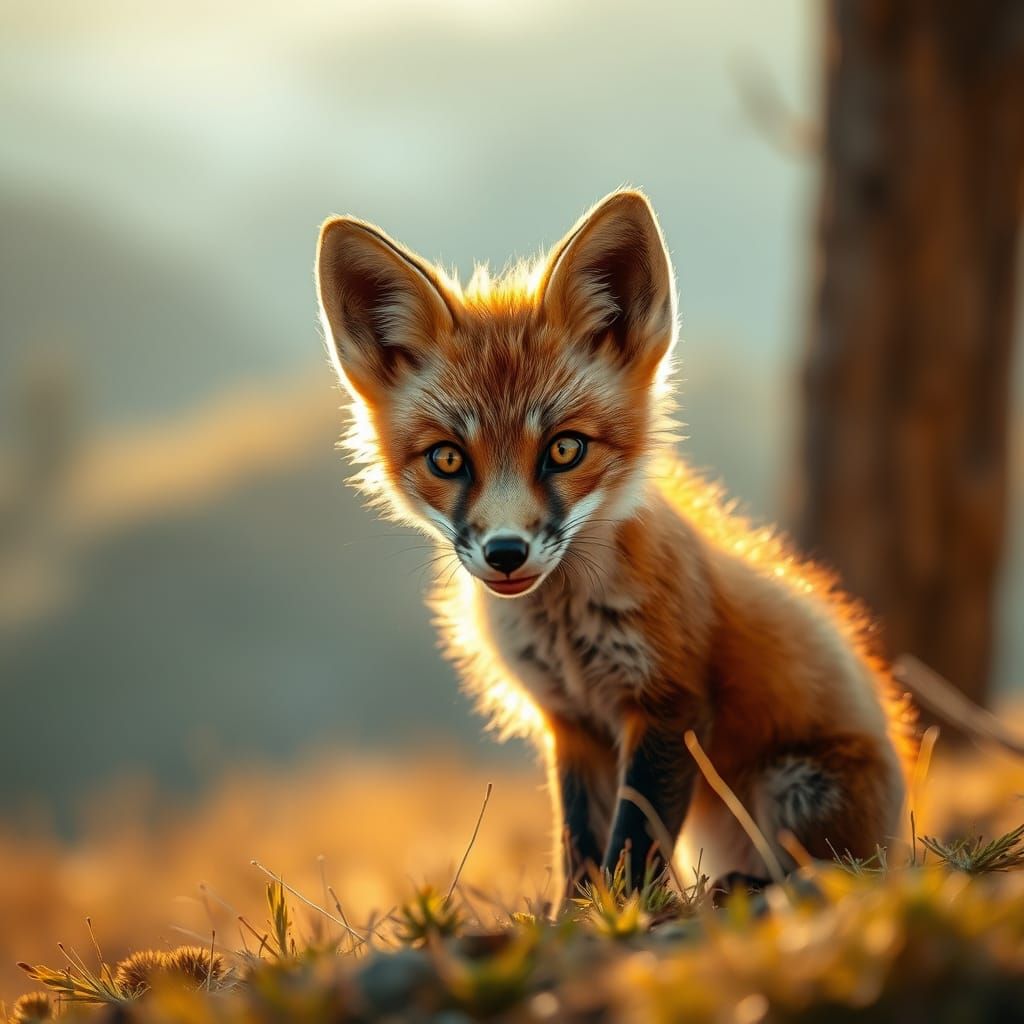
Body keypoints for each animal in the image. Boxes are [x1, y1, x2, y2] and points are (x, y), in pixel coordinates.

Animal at [314, 190, 917, 896]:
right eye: (448, 459)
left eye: (564, 449)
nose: (506, 553)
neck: (566, 634)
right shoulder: (571, 724)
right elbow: (579, 846)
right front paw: (575, 914)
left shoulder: (669, 706)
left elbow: (632, 842)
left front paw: (629, 909)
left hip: (798, 788)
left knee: (828, 872)